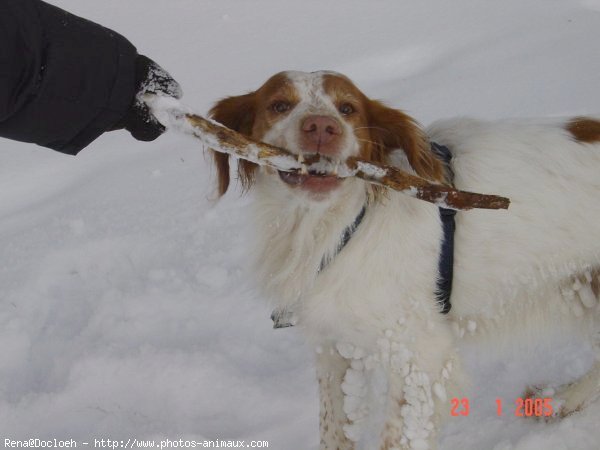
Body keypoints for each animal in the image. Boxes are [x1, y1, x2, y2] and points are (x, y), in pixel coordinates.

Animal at [209, 71, 600, 450]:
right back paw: (561, 400)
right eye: (279, 104)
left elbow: (399, 436)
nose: (321, 126)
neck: (332, 226)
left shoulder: (420, 357)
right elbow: (334, 430)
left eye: (348, 108)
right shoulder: (336, 348)